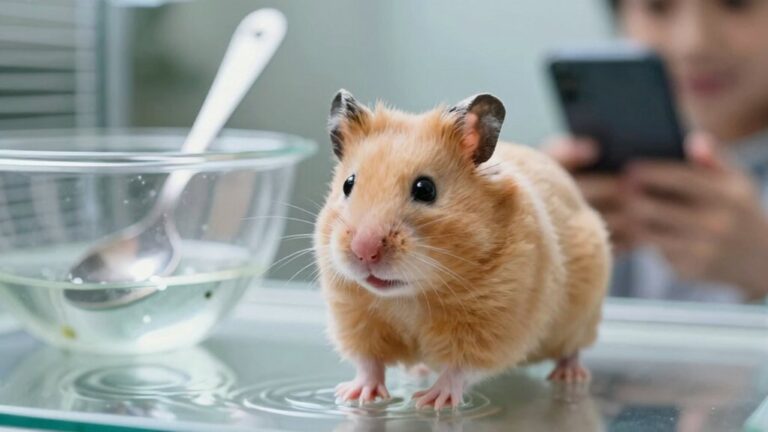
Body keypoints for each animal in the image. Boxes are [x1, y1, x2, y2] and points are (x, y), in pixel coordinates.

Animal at [314, 90, 611, 410]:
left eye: (425, 189)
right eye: (348, 184)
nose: (364, 251)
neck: (410, 296)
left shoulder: (494, 326)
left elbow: (460, 367)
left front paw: (431, 402)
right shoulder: (355, 316)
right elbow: (369, 362)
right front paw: (354, 396)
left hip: (582, 315)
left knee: (572, 349)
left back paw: (570, 376)